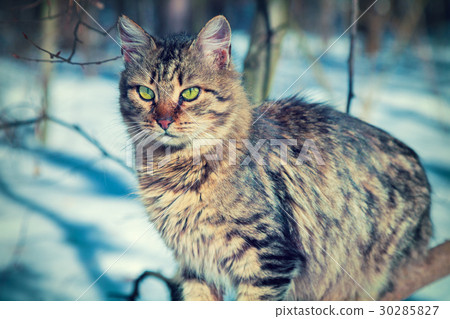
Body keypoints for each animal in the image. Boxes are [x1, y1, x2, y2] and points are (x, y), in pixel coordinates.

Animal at [118, 13, 430, 302]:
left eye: (190, 93)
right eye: (146, 93)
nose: (163, 121)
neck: (174, 170)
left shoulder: (269, 258)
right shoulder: (196, 265)